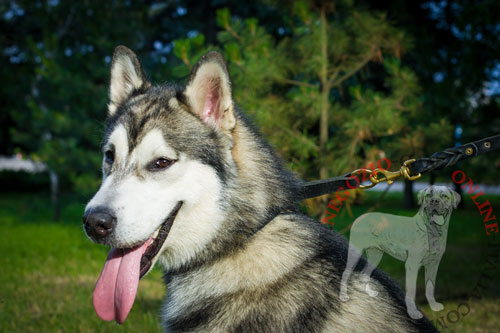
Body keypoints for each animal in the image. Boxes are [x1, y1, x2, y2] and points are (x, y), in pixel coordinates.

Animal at [340, 184, 460, 320]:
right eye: (428, 195)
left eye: (444, 196)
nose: (434, 201)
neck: (432, 231)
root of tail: (359, 217)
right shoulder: (412, 265)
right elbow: (411, 290)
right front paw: (413, 313)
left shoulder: (433, 264)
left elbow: (430, 287)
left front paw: (433, 306)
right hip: (355, 251)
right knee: (346, 272)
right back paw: (343, 297)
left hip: (375, 255)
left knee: (364, 273)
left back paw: (370, 293)